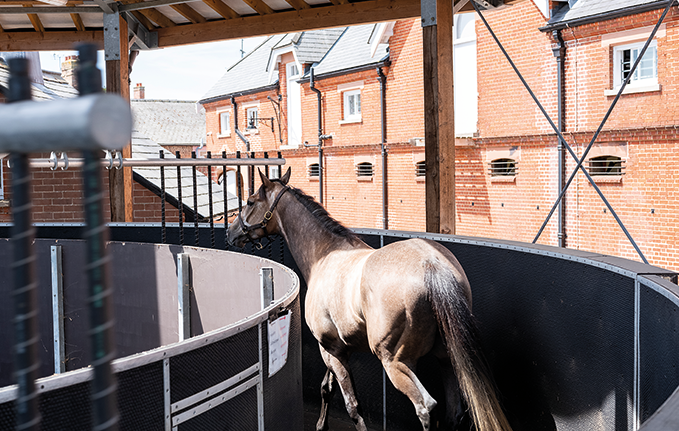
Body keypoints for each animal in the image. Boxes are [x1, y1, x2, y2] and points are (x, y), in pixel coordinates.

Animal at [226, 170, 512, 431]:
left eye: (250, 201)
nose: (231, 232)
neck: (325, 255)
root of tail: (432, 264)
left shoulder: (330, 349)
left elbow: (352, 406)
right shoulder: (338, 349)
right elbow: (326, 388)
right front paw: (321, 425)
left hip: (395, 363)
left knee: (426, 407)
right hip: (446, 360)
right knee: (454, 414)